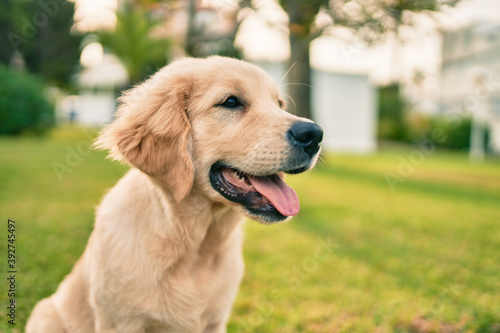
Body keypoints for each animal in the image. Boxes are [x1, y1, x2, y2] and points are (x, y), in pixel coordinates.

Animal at [27, 55, 322, 330]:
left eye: (280, 104)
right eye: (231, 102)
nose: (315, 134)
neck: (194, 245)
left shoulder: (215, 322)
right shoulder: (119, 322)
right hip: (45, 315)